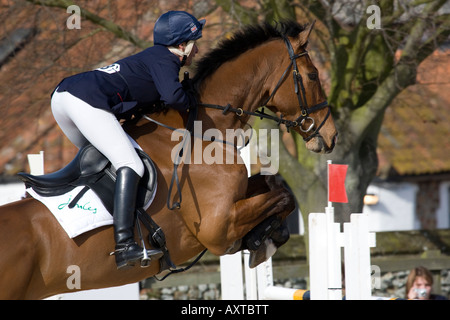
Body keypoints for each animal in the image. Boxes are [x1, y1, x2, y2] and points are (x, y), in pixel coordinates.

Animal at [0, 21, 336, 298]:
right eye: (313, 75)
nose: (330, 135)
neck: (202, 130)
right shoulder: (217, 227)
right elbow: (281, 195)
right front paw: (263, 239)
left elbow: (275, 186)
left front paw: (266, 235)